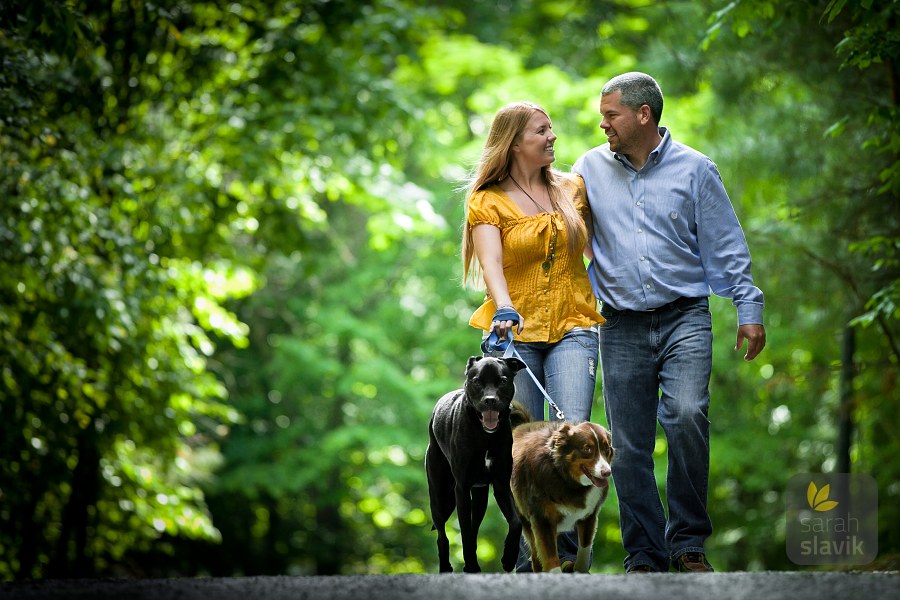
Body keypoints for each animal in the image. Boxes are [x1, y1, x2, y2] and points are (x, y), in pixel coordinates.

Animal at [424, 354, 524, 576]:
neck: (485, 436)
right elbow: (464, 532)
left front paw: (508, 559)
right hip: (439, 494)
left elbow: (516, 522)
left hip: (479, 497)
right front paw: (471, 566)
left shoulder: (501, 484)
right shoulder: (461, 489)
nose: (490, 400)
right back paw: (446, 568)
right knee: (442, 535)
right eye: (477, 381)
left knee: (474, 526)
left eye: (502, 381)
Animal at [510, 406, 616, 576]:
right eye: (587, 448)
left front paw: (580, 570)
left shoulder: (590, 516)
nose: (607, 472)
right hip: (524, 519)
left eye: (606, 449)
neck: (563, 476)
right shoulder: (542, 519)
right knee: (535, 553)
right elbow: (550, 558)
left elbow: (584, 550)